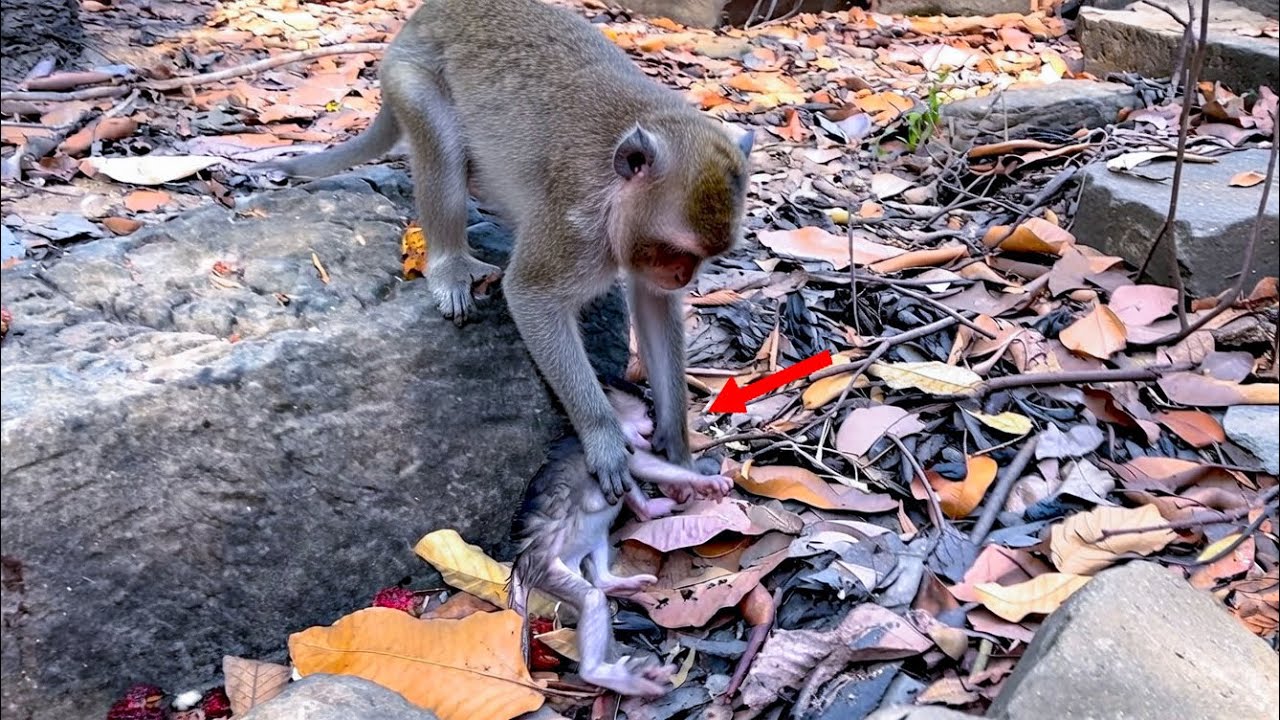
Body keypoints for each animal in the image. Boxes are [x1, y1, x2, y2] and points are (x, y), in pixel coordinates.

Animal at [257, 0, 754, 506]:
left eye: (703, 257)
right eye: (676, 250)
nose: (682, 277)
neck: (615, 189)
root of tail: (419, 20)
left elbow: (653, 307)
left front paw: (677, 446)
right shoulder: (572, 229)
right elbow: (531, 295)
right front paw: (603, 437)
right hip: (412, 77)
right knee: (442, 147)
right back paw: (450, 264)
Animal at [506, 380, 733, 697]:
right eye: (647, 413)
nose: (653, 425)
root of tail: (521, 563)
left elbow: (629, 486)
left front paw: (654, 506)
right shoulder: (621, 448)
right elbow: (643, 466)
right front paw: (705, 482)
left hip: (583, 547)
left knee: (599, 557)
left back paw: (618, 583)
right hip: (548, 568)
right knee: (590, 597)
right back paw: (610, 676)